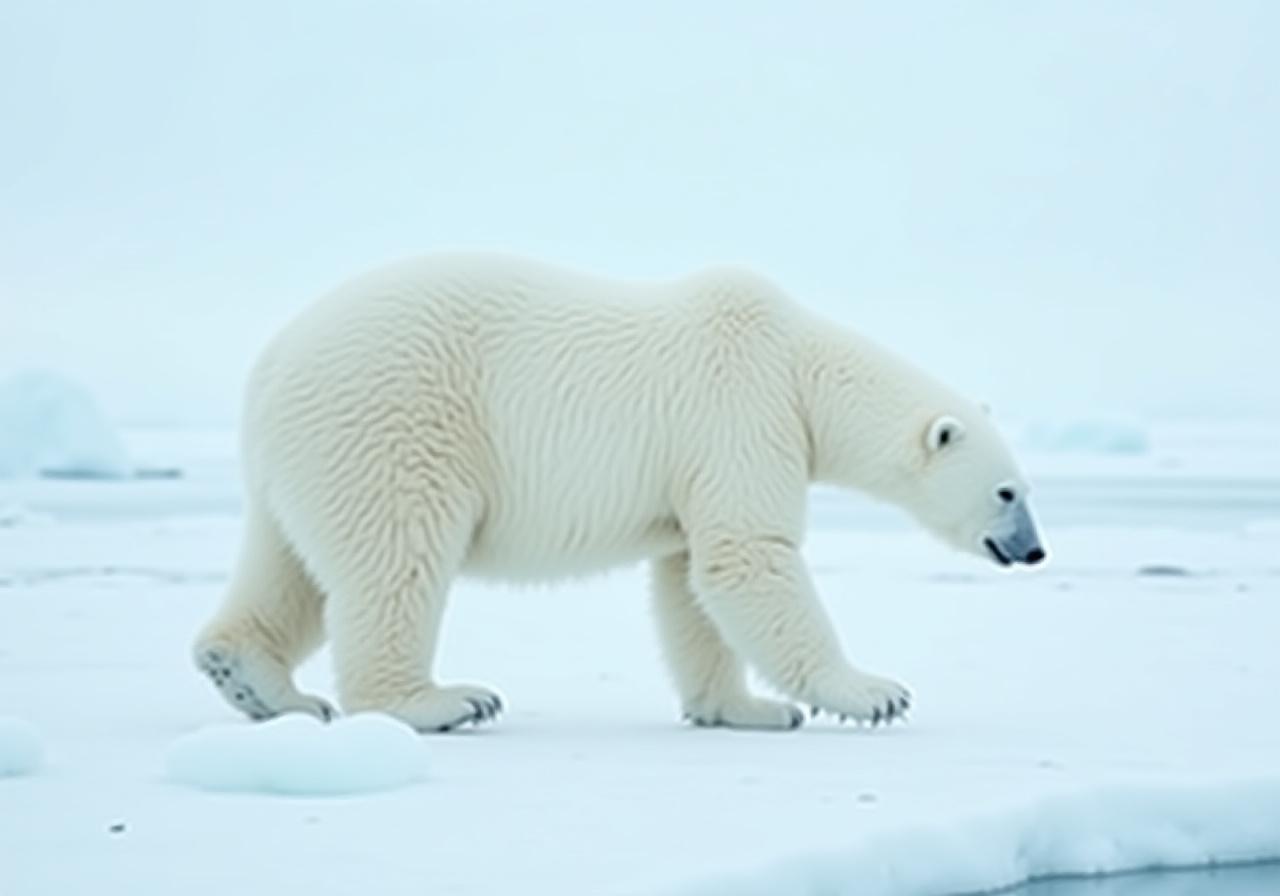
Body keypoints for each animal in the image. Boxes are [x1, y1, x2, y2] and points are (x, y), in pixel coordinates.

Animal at [193, 252, 1046, 732]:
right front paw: (872, 694)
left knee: (288, 563)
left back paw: (259, 683)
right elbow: (746, 557)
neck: (801, 364)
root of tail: (274, 359)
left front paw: (746, 709)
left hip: (307, 454)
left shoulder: (702, 455)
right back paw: (441, 702)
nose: (1035, 550)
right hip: (394, 418)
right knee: (399, 558)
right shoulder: (742, 408)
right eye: (1009, 493)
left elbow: (689, 581)